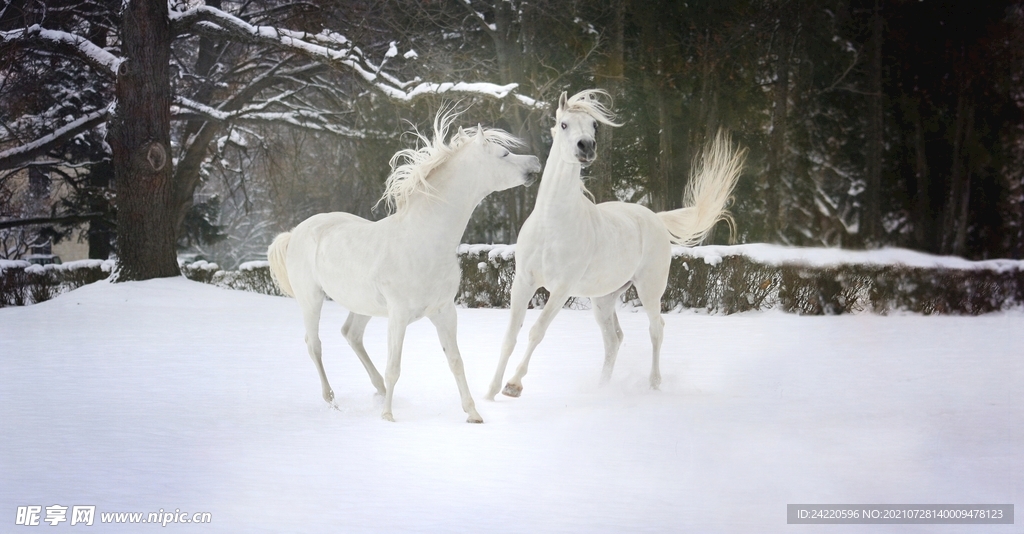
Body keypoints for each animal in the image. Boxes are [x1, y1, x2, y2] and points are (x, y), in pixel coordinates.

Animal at [268, 108, 541, 422]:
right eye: (504, 154)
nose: (535, 162)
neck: (422, 240)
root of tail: (294, 233)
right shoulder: (398, 316)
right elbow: (395, 367)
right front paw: (388, 417)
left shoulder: (444, 311)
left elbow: (455, 361)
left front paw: (473, 414)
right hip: (311, 300)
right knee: (315, 345)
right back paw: (332, 400)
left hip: (362, 305)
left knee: (352, 335)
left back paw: (376, 389)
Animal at [486, 89, 745, 400]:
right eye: (563, 124)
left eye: (594, 125)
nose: (586, 146)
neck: (552, 223)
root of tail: (655, 218)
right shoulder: (523, 282)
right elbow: (510, 335)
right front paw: (489, 393)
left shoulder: (561, 289)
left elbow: (537, 330)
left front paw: (513, 386)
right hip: (603, 299)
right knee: (613, 339)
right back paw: (602, 389)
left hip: (649, 289)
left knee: (656, 329)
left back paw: (653, 384)